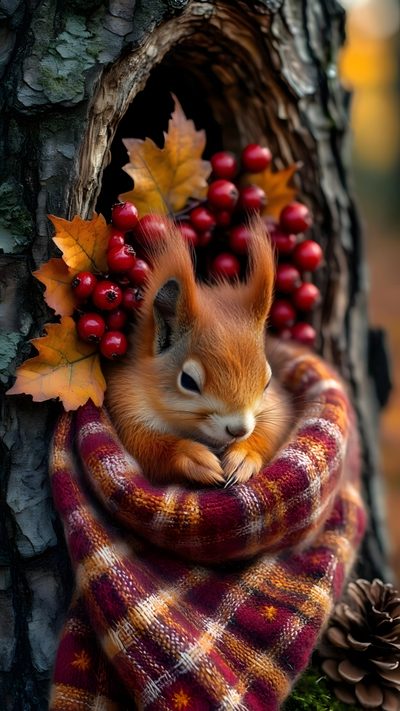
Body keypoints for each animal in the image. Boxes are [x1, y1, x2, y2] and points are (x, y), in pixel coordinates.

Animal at [105, 215, 293, 487]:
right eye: (188, 381)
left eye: (267, 382)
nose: (238, 430)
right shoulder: (125, 403)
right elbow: (146, 447)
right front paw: (193, 457)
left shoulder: (277, 407)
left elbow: (272, 430)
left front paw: (244, 455)